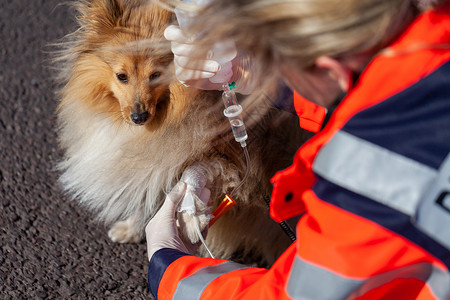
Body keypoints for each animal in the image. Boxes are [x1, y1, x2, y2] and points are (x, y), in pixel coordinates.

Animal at [54, 0, 304, 268]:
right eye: (121, 76)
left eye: (155, 75)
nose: (139, 117)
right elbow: (149, 191)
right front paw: (133, 228)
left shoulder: (227, 158)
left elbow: (190, 174)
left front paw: (190, 220)